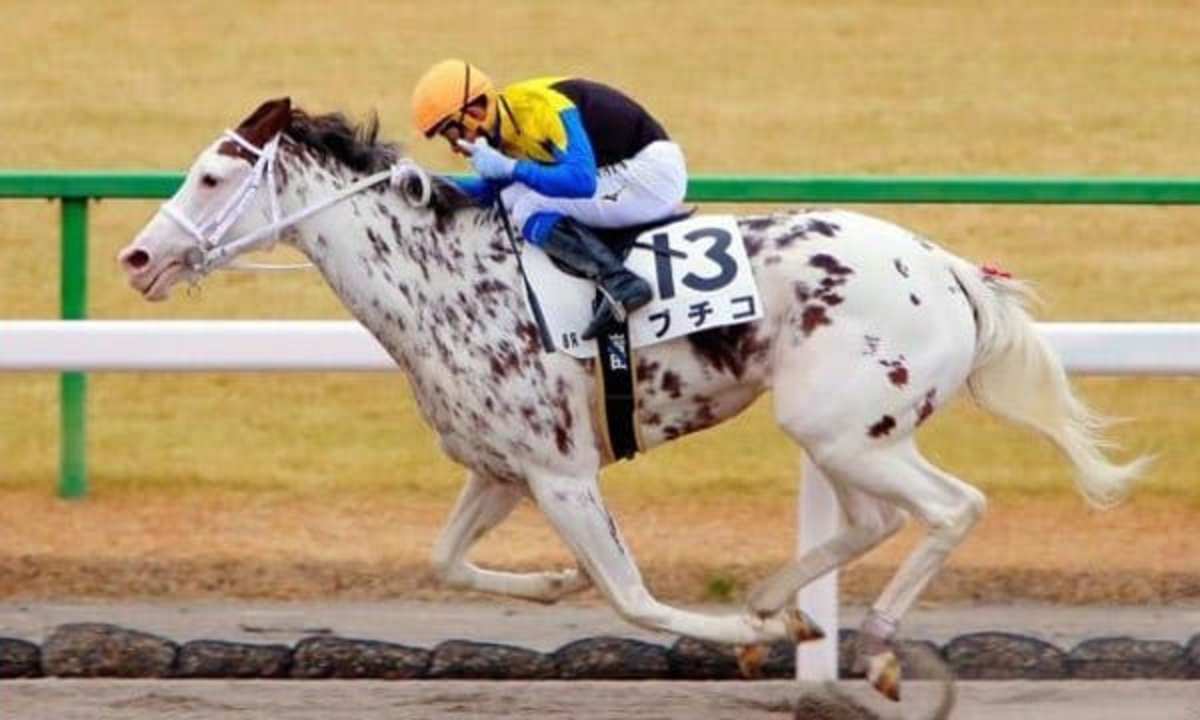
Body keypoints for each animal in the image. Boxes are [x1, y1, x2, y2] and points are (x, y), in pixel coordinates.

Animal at [118, 97, 1148, 700]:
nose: (136, 257)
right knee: (875, 519)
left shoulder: (562, 472)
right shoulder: (504, 468)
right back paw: (788, 606)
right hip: (848, 429)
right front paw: (551, 582)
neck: (440, 277)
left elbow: (633, 597)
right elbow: (446, 561)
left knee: (954, 507)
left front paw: (730, 626)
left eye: (212, 174)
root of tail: (950, 271)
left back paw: (879, 642)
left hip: (846, 425)